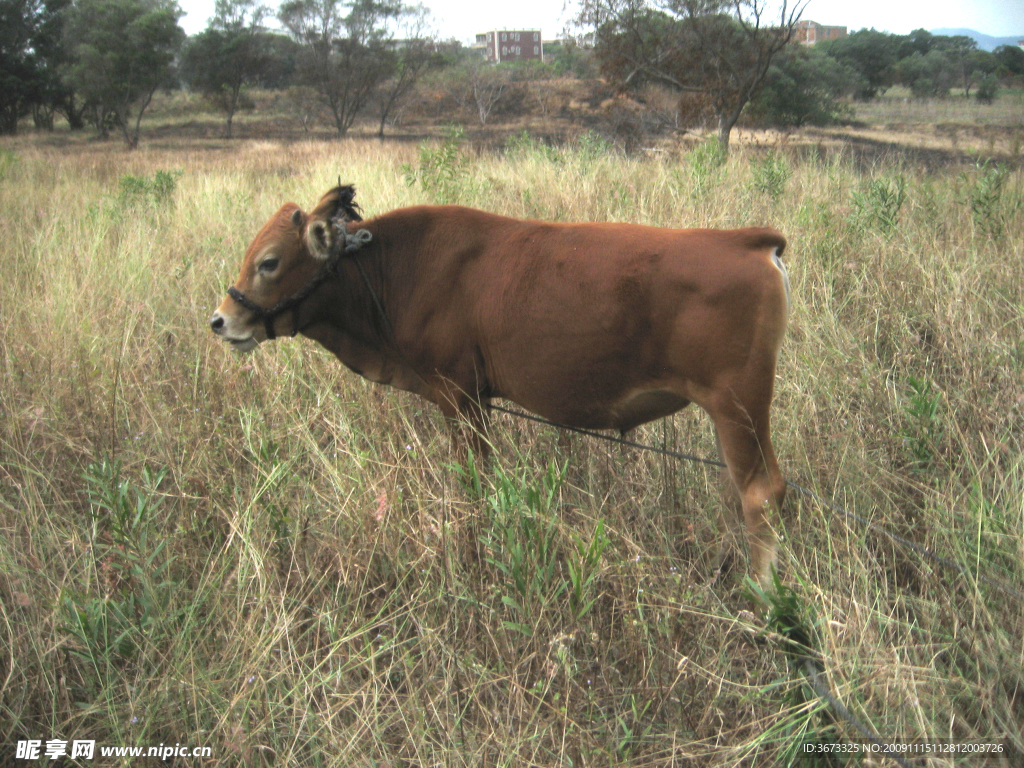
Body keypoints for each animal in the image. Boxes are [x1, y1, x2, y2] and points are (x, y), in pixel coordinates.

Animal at [209, 186, 790, 581]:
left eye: (269, 262)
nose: (220, 321)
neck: (395, 266)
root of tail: (748, 241)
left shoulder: (460, 398)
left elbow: (473, 488)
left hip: (737, 407)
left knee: (761, 494)